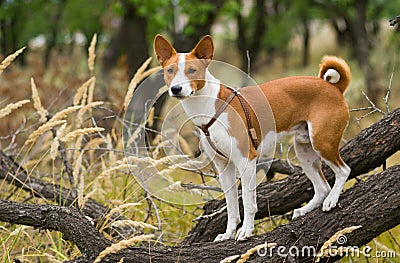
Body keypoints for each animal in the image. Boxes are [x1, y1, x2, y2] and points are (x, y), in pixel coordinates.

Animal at [153, 34, 350, 242]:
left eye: (192, 70)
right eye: (170, 70)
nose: (176, 89)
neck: (210, 106)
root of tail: (333, 87)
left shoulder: (246, 160)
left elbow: (248, 203)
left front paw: (246, 231)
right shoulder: (224, 167)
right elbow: (231, 206)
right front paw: (228, 233)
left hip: (322, 142)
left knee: (343, 171)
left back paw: (332, 200)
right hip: (305, 150)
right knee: (322, 187)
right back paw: (305, 210)